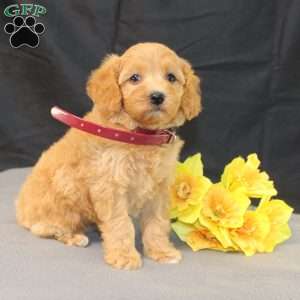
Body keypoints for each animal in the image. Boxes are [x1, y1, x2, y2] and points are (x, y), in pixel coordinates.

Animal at [14, 42, 202, 270]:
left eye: (171, 78)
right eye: (134, 78)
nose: (157, 96)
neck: (140, 135)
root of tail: (20, 209)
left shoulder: (159, 189)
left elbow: (157, 223)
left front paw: (161, 251)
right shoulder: (110, 187)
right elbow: (121, 224)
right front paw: (124, 256)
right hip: (60, 198)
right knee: (44, 228)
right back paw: (74, 237)